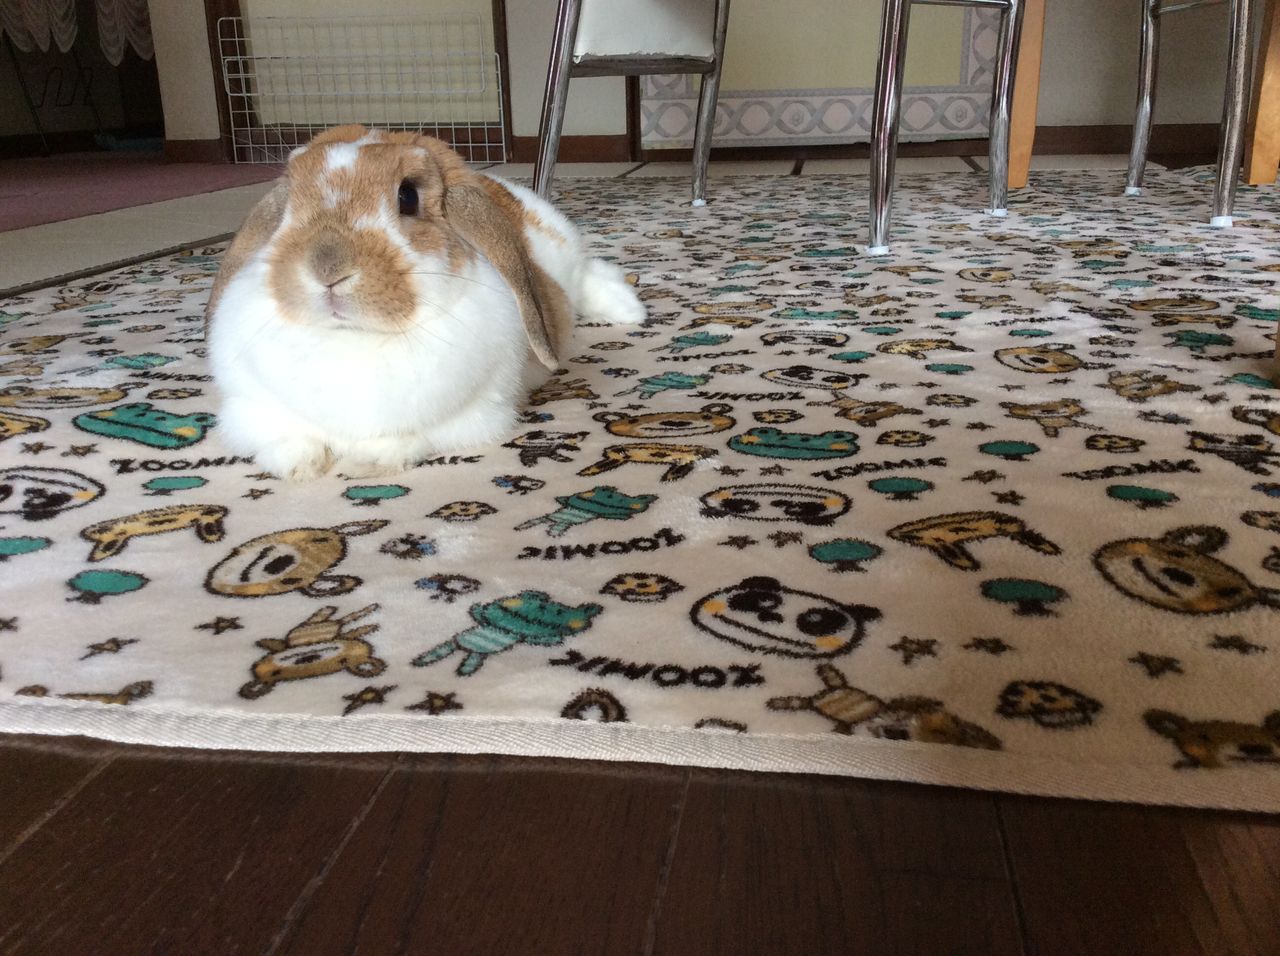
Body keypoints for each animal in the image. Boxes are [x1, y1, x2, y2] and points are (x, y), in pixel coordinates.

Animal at [205, 125, 644, 481]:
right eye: (290, 205)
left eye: (407, 196)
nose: (327, 268)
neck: (352, 338)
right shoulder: (253, 412)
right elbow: (288, 441)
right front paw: (301, 468)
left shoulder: (466, 417)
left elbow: (404, 439)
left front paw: (367, 463)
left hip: (566, 256)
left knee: (589, 274)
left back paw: (628, 308)